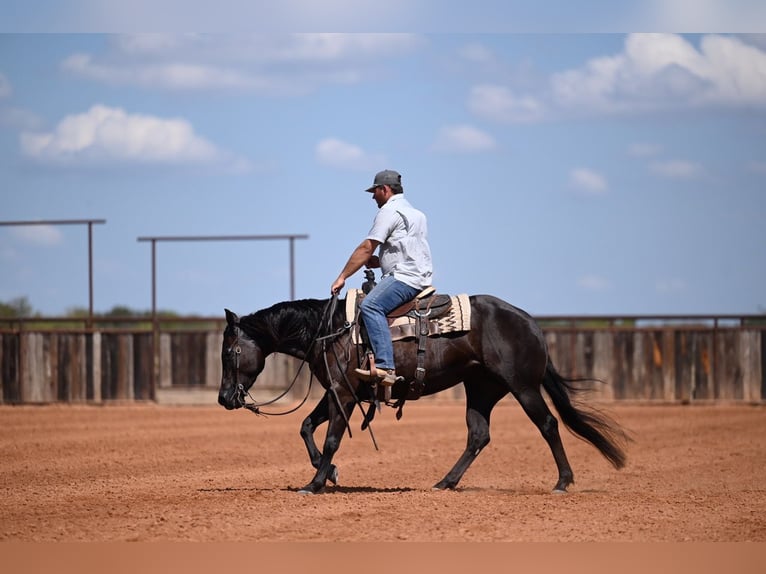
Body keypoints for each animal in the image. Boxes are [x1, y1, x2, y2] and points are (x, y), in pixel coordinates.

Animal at [218, 293, 628, 495]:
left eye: (231, 351)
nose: (224, 399)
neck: (330, 329)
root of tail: (531, 322)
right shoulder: (337, 391)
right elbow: (305, 425)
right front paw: (328, 472)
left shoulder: (343, 394)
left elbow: (332, 437)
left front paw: (315, 483)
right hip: (481, 388)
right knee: (478, 435)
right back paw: (445, 482)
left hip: (523, 386)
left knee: (547, 424)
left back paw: (562, 482)